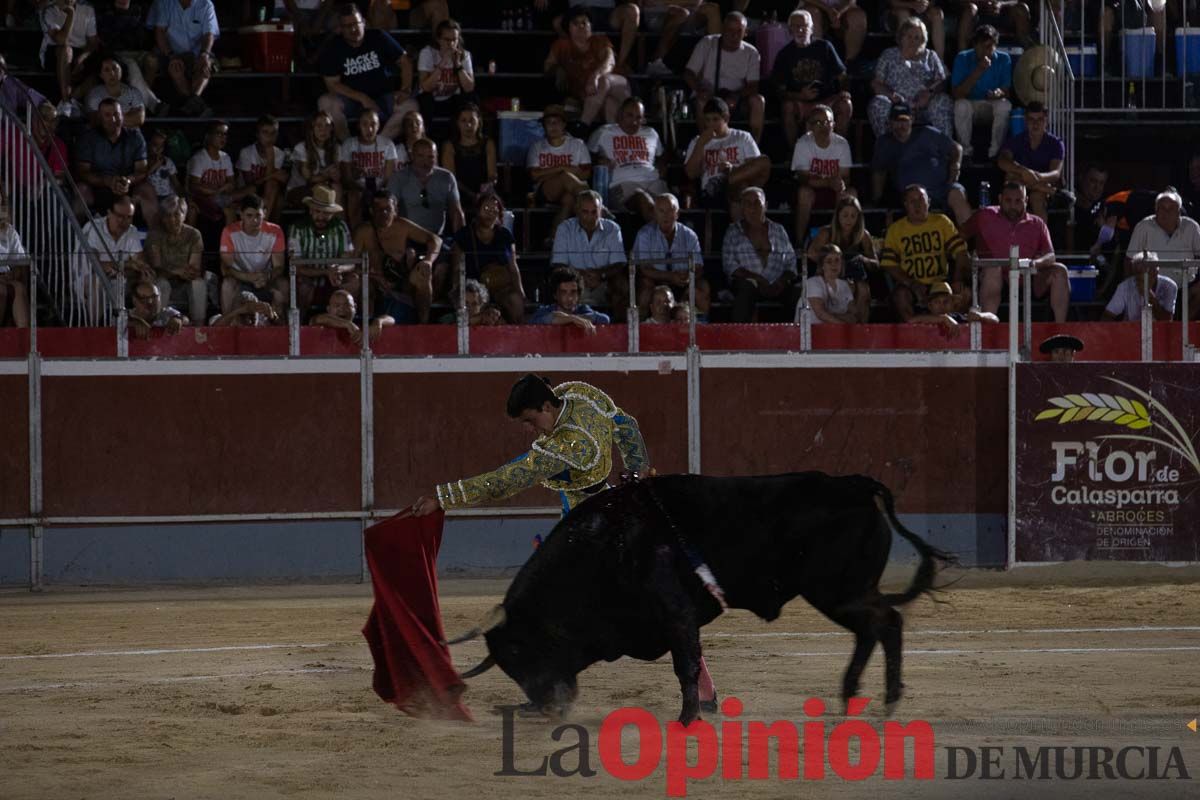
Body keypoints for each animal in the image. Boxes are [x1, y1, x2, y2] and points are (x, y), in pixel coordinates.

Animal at [451, 472, 955, 724]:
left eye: (520, 651)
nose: (546, 706)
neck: (603, 549)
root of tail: (858, 484)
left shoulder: (676, 615)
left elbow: (685, 665)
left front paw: (687, 718)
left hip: (837, 590)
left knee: (886, 623)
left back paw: (884, 701)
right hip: (842, 593)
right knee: (873, 629)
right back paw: (852, 698)